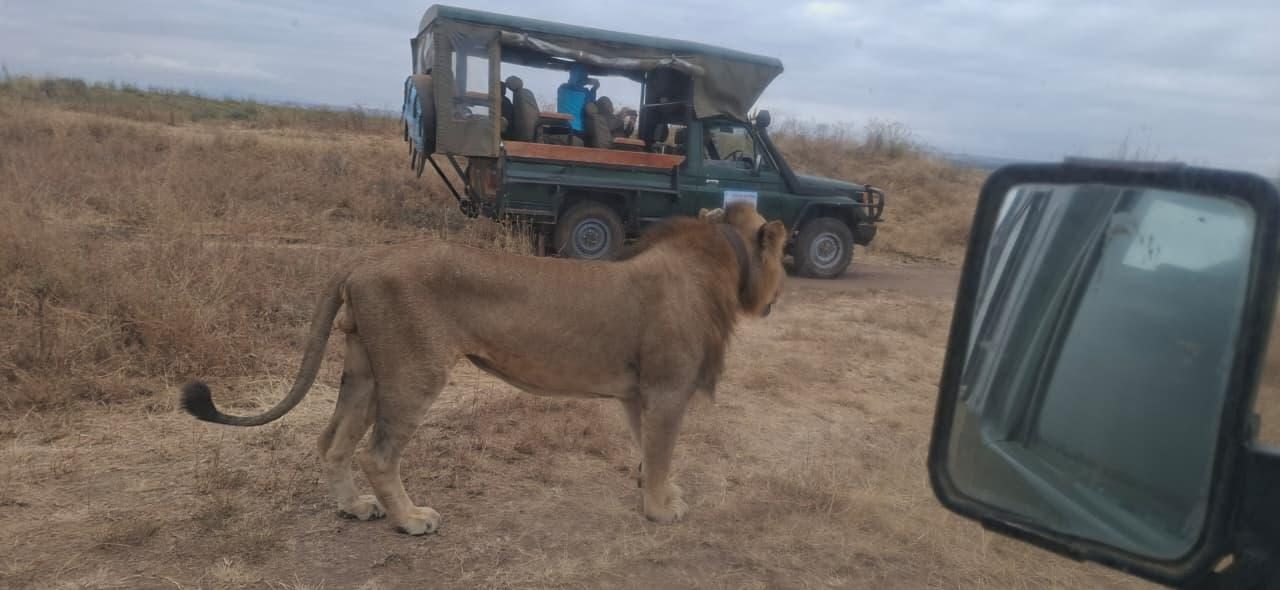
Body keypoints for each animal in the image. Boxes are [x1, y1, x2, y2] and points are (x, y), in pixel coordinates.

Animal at [180, 202, 787, 535]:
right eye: (784, 252)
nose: (779, 296)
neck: (719, 262)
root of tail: (364, 258)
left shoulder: (638, 394)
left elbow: (646, 449)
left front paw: (657, 492)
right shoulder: (665, 389)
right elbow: (660, 452)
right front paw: (661, 510)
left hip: (366, 369)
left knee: (333, 442)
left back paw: (353, 508)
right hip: (415, 371)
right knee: (378, 454)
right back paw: (411, 519)